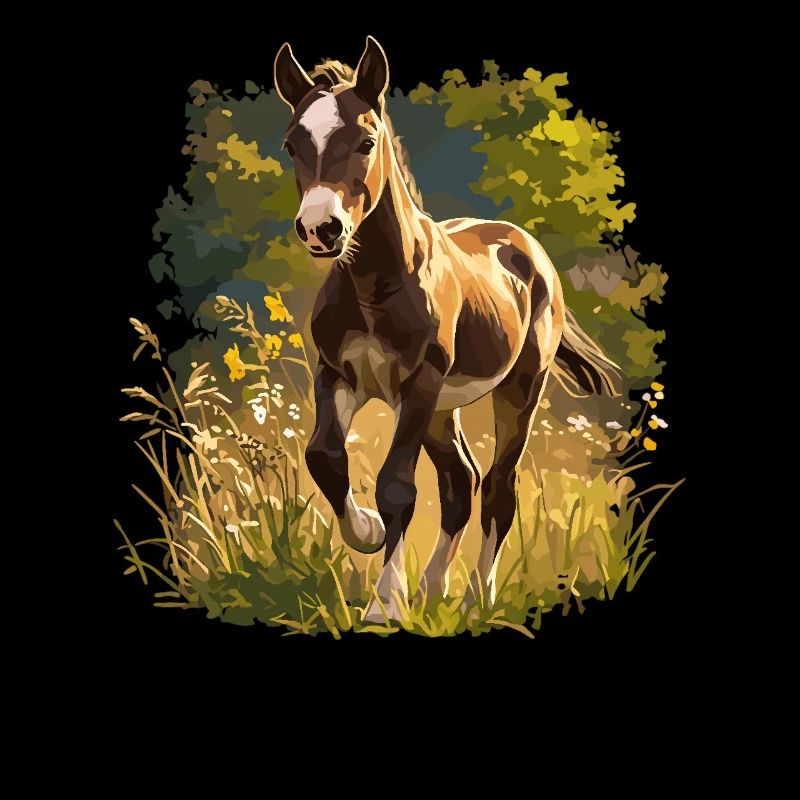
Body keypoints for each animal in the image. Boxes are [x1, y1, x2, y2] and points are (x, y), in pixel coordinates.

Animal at [273, 36, 620, 623]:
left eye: (365, 141)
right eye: (293, 143)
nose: (321, 228)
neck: (375, 286)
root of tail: (528, 250)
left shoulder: (418, 384)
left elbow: (397, 487)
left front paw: (385, 606)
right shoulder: (338, 375)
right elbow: (325, 457)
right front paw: (366, 532)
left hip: (516, 389)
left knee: (498, 488)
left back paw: (479, 598)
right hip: (442, 410)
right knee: (461, 481)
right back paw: (434, 589)